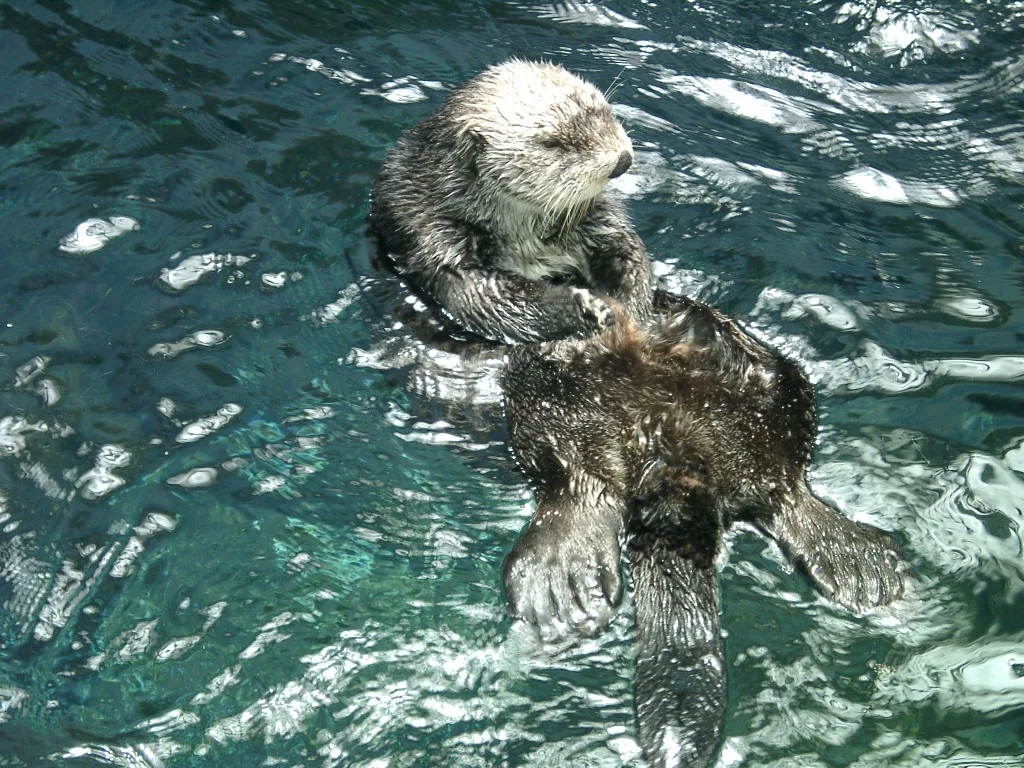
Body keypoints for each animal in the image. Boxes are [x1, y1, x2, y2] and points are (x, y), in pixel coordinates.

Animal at [369, 59, 653, 344]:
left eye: (605, 110)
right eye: (550, 143)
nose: (622, 160)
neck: (527, 234)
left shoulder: (597, 217)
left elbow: (628, 253)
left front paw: (632, 306)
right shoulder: (439, 239)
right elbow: (485, 300)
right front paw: (584, 308)